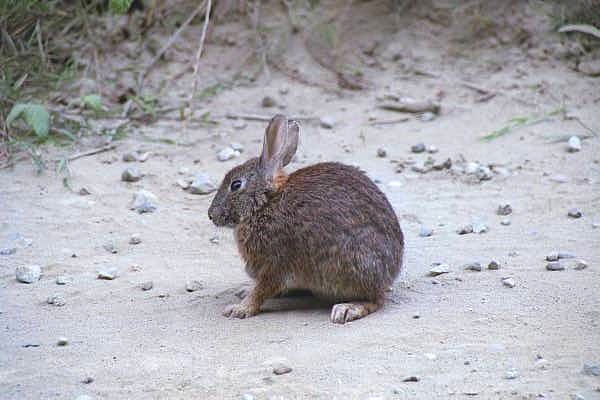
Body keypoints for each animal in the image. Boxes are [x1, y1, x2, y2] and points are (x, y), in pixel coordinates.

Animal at [209, 114, 406, 324]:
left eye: (236, 185)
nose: (211, 215)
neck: (265, 204)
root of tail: (391, 272)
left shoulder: (275, 264)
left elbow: (261, 291)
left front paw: (239, 309)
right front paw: (243, 293)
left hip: (353, 265)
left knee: (377, 299)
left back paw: (348, 309)